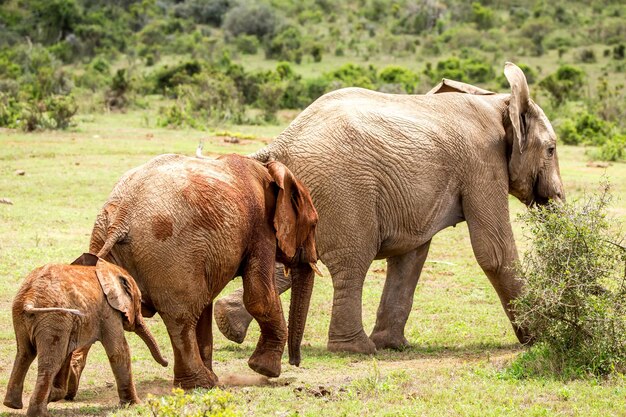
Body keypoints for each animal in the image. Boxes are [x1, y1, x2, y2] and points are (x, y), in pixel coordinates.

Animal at [2, 252, 167, 416]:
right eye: (139, 301)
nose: (166, 362)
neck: (110, 270)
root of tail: (30, 297)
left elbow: (67, 354)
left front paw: (53, 395)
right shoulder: (107, 310)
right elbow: (119, 351)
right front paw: (135, 404)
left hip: (24, 314)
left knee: (25, 353)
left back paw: (12, 404)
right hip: (53, 317)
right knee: (50, 362)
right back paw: (38, 413)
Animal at [212, 62, 564, 354]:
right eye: (551, 149)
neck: (500, 101)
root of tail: (282, 142)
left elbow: (411, 255)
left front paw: (394, 345)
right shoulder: (482, 163)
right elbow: (494, 252)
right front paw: (543, 336)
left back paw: (228, 324)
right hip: (343, 189)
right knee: (354, 259)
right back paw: (356, 350)